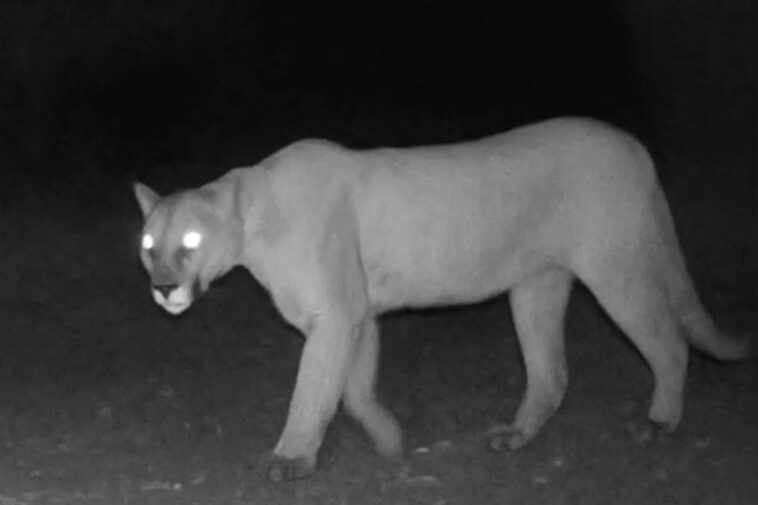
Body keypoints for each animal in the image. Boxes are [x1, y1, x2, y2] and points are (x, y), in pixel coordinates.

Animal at [134, 117, 750, 481]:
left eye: (190, 244)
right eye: (147, 247)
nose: (162, 289)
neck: (256, 218)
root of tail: (632, 144)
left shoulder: (337, 315)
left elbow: (312, 389)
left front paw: (292, 458)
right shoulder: (356, 316)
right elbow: (351, 389)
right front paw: (390, 442)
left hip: (615, 270)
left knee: (669, 342)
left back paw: (659, 422)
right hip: (536, 286)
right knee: (551, 372)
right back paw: (515, 437)